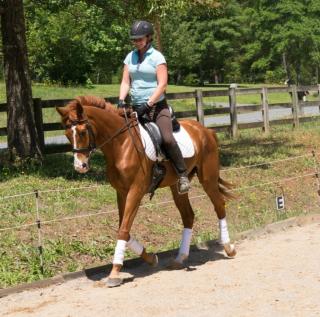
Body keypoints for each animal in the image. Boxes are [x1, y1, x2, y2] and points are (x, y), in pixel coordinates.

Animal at [56, 95, 236, 286]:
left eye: (82, 132)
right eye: (67, 135)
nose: (80, 166)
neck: (122, 144)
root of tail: (206, 131)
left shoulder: (135, 191)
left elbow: (123, 230)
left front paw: (114, 272)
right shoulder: (121, 193)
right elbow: (124, 229)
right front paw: (150, 258)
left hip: (208, 179)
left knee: (219, 205)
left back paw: (228, 248)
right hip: (177, 186)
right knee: (188, 216)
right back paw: (180, 258)